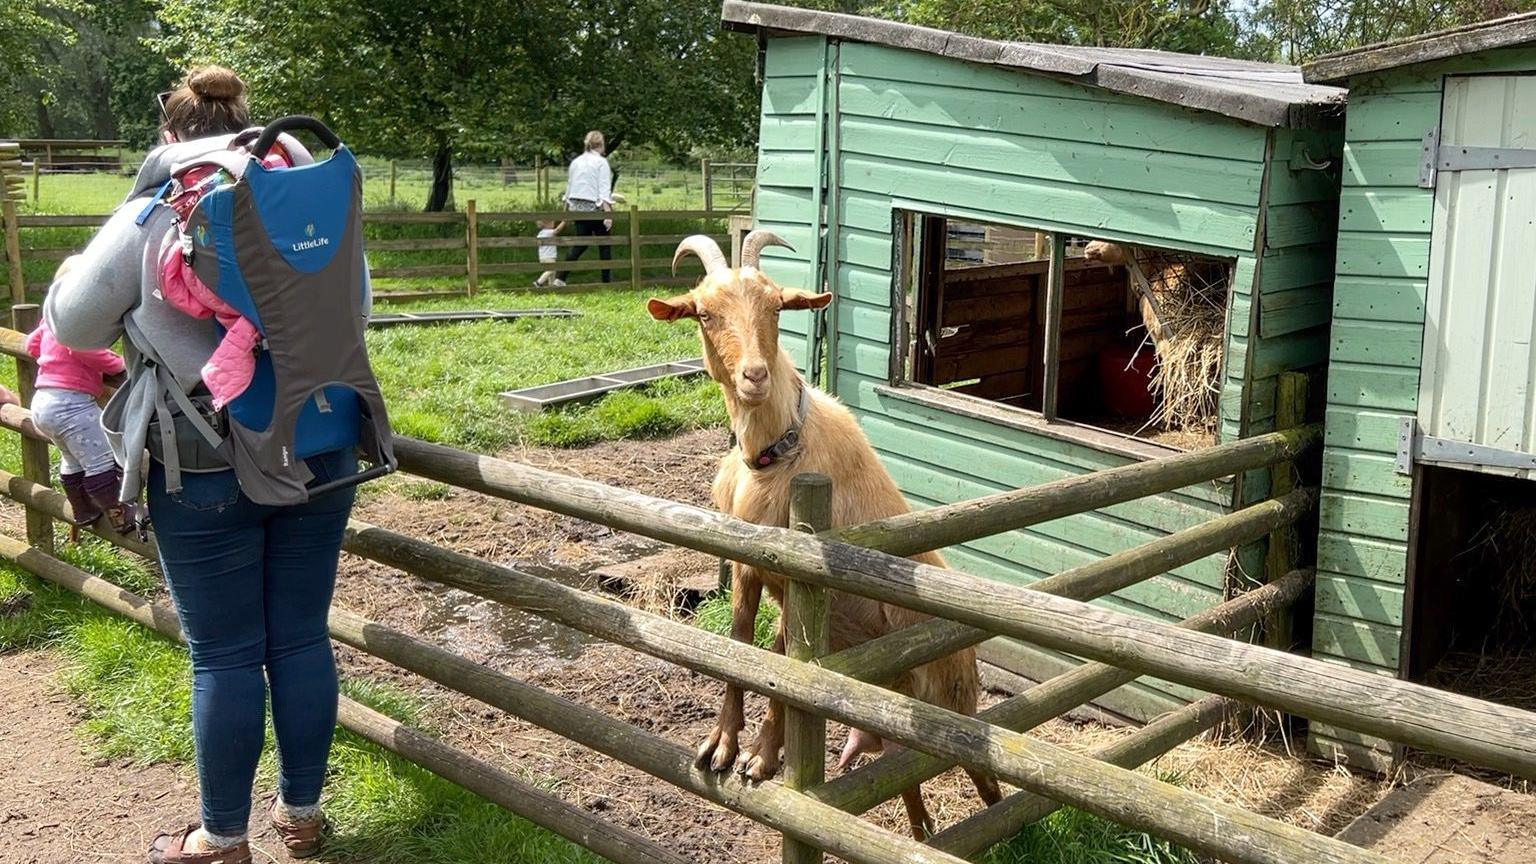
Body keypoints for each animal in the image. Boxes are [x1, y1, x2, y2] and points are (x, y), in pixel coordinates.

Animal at [651, 232, 1001, 836]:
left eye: (775, 307)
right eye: (704, 312)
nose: (755, 376)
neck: (776, 453)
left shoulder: (801, 577)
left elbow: (783, 660)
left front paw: (761, 760)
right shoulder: (746, 564)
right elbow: (741, 644)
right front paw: (720, 747)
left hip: (953, 708)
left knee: (989, 783)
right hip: (890, 734)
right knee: (909, 796)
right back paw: (923, 833)